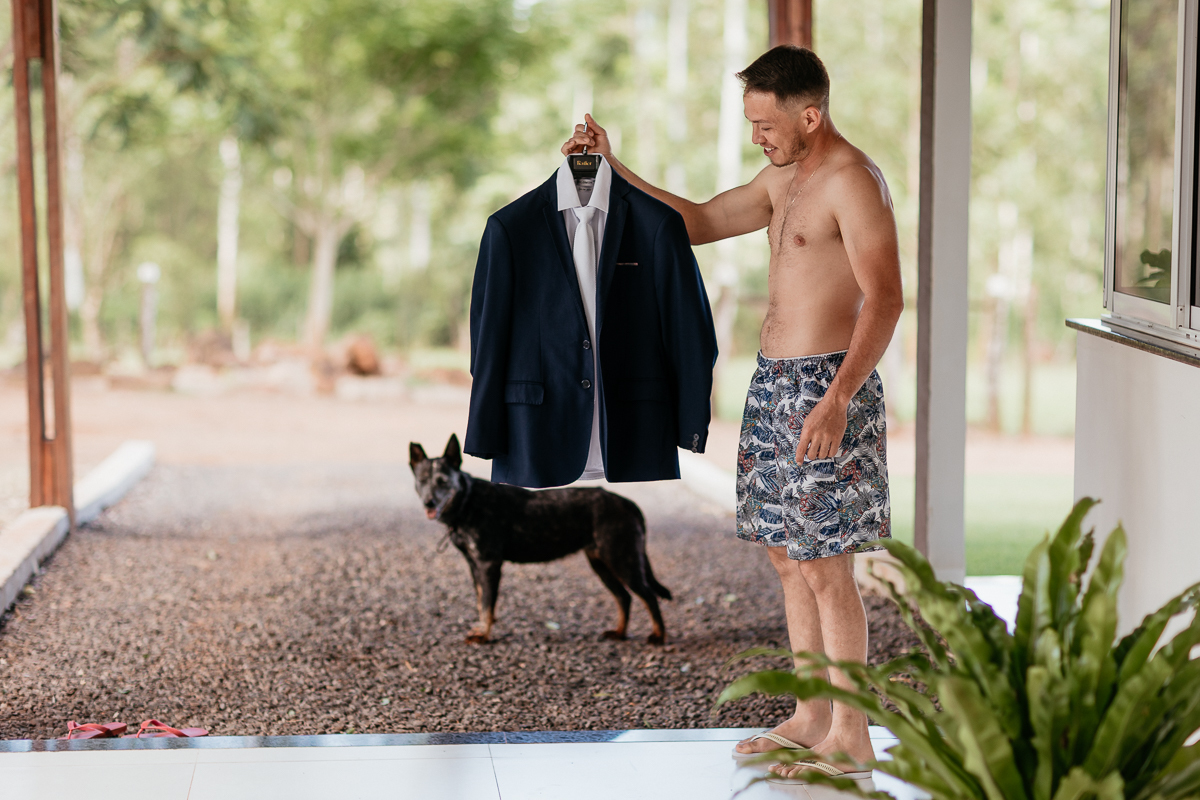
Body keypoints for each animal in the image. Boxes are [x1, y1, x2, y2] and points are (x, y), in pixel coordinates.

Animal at [409, 434, 672, 645]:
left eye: (443, 481)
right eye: (422, 481)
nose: (429, 503)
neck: (468, 501)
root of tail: (627, 503)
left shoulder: (488, 565)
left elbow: (487, 605)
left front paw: (484, 634)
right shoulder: (474, 566)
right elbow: (480, 602)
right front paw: (481, 629)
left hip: (622, 560)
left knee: (649, 596)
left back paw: (658, 636)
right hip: (601, 564)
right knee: (624, 597)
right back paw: (619, 632)